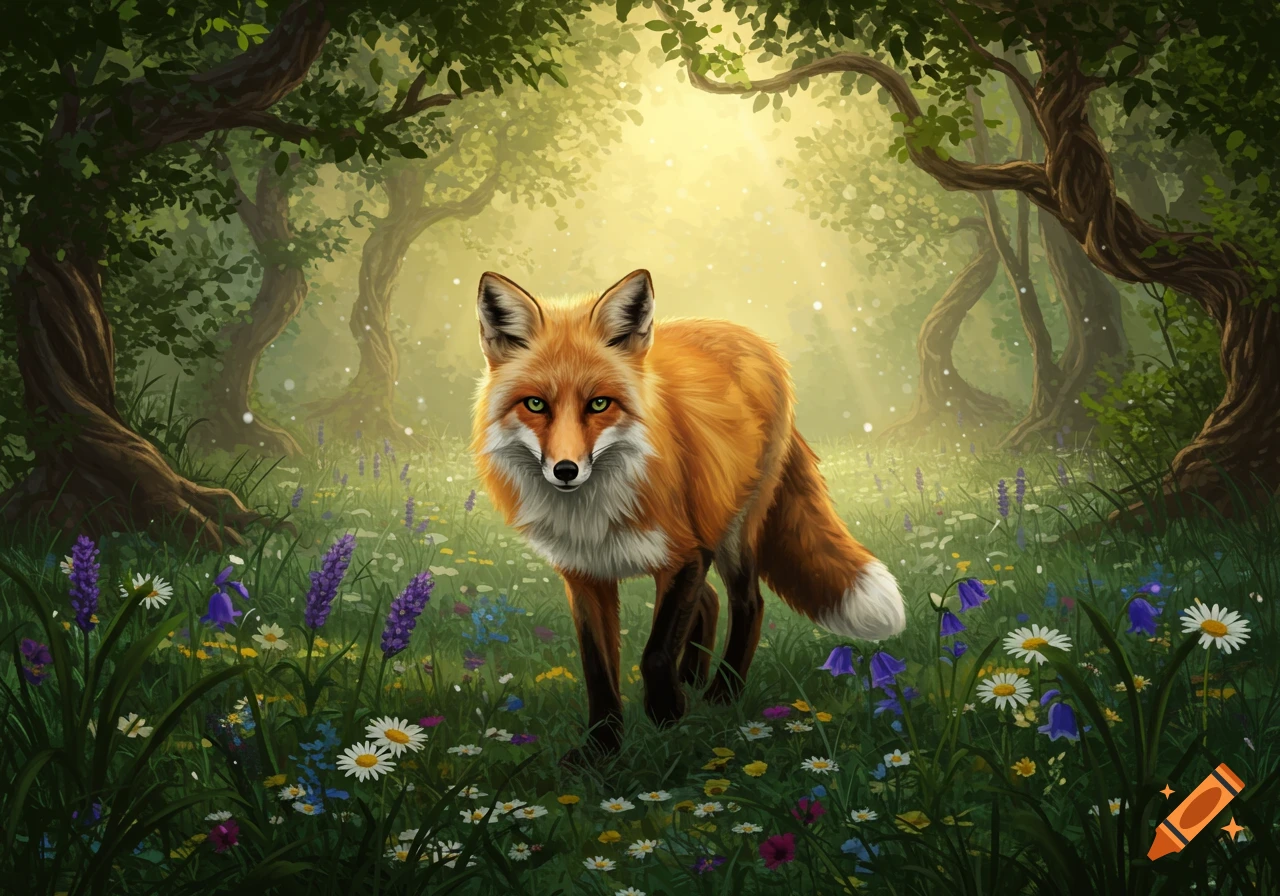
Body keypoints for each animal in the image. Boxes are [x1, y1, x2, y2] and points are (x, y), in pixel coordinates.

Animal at [471, 268, 906, 763]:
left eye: (599, 404)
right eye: (535, 404)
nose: (566, 470)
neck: (593, 513)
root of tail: (753, 338)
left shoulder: (684, 556)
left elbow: (656, 653)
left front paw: (666, 712)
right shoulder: (584, 575)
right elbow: (598, 670)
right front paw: (601, 749)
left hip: (735, 532)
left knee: (748, 603)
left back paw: (721, 693)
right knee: (712, 600)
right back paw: (695, 679)